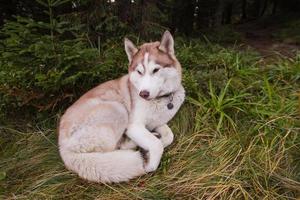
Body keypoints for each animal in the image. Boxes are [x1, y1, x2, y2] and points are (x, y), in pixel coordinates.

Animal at [58, 30, 185, 183]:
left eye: (155, 70)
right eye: (139, 72)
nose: (143, 94)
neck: (159, 100)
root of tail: (63, 148)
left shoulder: (157, 123)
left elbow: (169, 135)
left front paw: (156, 139)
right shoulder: (134, 126)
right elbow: (156, 144)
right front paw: (150, 163)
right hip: (117, 109)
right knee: (114, 147)